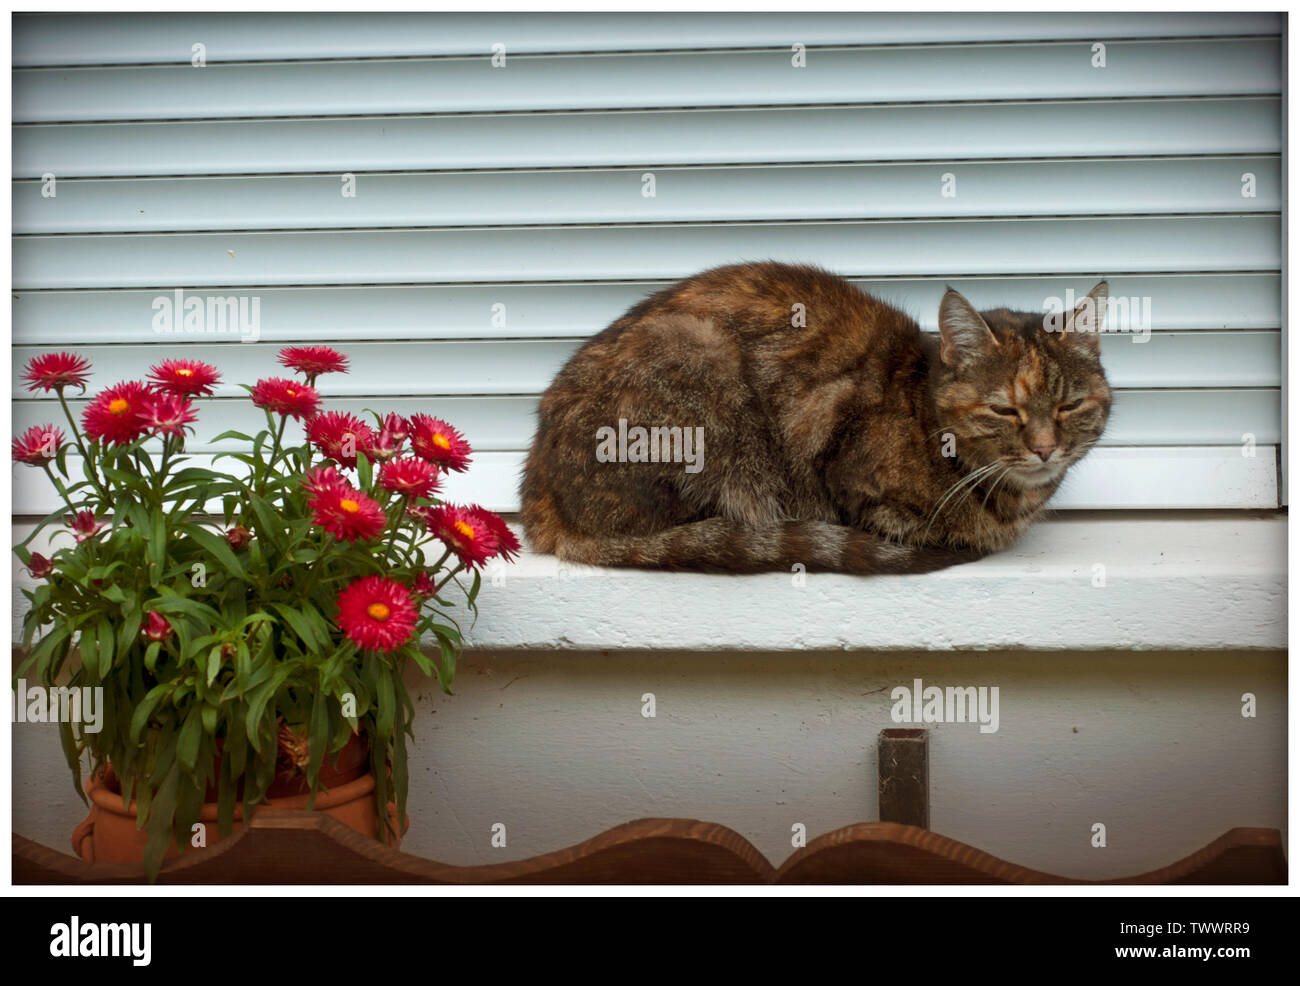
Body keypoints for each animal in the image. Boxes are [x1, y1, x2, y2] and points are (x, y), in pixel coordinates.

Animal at [522, 262, 1112, 574]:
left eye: (1069, 405)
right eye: (1004, 409)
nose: (1045, 448)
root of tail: (538, 494)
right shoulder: (836, 449)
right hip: (701, 371)